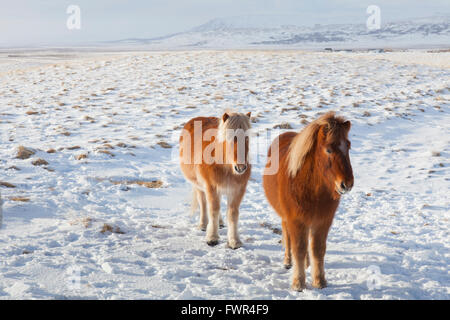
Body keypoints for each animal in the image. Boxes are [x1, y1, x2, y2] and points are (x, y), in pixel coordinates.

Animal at [180, 111, 251, 249]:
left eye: (247, 138)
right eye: (230, 137)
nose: (241, 167)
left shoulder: (237, 189)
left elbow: (233, 213)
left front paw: (234, 241)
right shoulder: (211, 187)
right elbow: (213, 210)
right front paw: (212, 238)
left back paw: (221, 222)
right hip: (198, 185)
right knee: (203, 203)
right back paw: (203, 224)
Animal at [262, 112, 354, 290]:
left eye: (348, 146)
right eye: (329, 149)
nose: (347, 184)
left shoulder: (322, 221)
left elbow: (317, 249)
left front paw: (319, 281)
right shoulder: (296, 220)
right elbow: (298, 248)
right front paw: (298, 283)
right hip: (287, 217)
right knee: (288, 235)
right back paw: (288, 261)